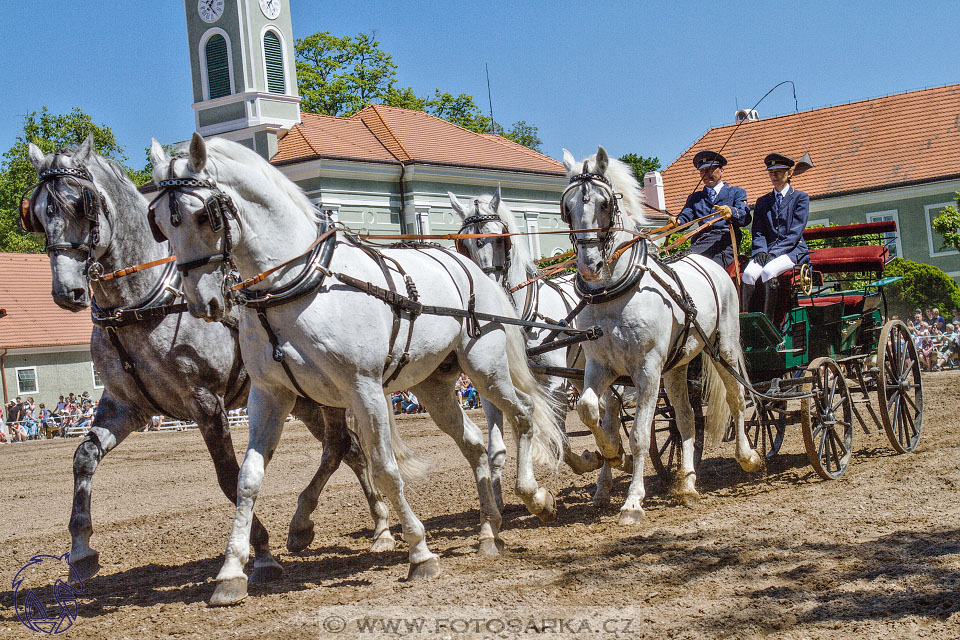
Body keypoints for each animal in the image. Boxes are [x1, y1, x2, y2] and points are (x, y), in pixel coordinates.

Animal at [25, 135, 394, 584]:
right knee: (350, 449)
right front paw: (81, 550)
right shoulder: (126, 406)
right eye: (38, 213)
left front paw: (260, 551)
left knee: (342, 446)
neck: (143, 303)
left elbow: (228, 475)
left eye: (82, 204)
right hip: (303, 400)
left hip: (320, 393)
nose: (68, 291)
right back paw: (370, 525)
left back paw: (342, 527)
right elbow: (84, 457)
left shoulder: (205, 402)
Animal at [452, 188, 608, 508]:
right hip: (580, 371)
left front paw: (584, 462)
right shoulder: (492, 386)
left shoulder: (554, 384)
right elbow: (497, 447)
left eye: (501, 237)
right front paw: (497, 499)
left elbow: (556, 437)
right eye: (464, 245)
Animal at [560, 146, 760, 524]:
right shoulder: (599, 366)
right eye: (567, 207)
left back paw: (748, 456)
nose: (589, 266)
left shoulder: (647, 369)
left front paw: (632, 502)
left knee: (737, 398)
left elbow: (640, 434)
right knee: (685, 419)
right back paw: (688, 482)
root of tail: (708, 263)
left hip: (723, 349)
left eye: (605, 204)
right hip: (677, 368)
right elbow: (589, 410)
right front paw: (611, 452)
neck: (614, 294)